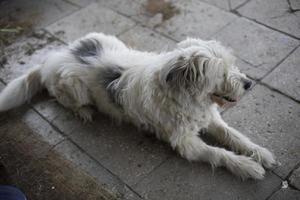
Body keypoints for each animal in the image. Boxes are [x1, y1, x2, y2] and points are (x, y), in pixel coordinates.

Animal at [0, 32, 276, 180]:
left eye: (231, 64)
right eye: (221, 73)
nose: (249, 84)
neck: (185, 96)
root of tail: (53, 58)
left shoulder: (212, 119)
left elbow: (234, 136)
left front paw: (260, 153)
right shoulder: (185, 143)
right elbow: (218, 153)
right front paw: (247, 167)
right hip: (74, 87)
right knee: (65, 99)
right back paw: (84, 112)